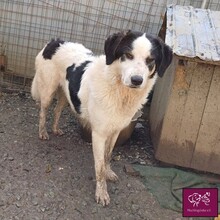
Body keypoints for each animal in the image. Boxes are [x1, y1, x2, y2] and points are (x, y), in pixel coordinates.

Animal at [31, 30, 173, 205]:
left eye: (151, 60)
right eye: (128, 55)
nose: (137, 80)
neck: (120, 91)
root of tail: (54, 41)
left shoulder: (115, 131)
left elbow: (107, 156)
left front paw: (108, 172)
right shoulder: (98, 135)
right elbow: (98, 167)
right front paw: (102, 193)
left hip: (67, 94)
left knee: (57, 110)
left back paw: (56, 129)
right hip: (47, 91)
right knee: (43, 112)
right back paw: (43, 132)